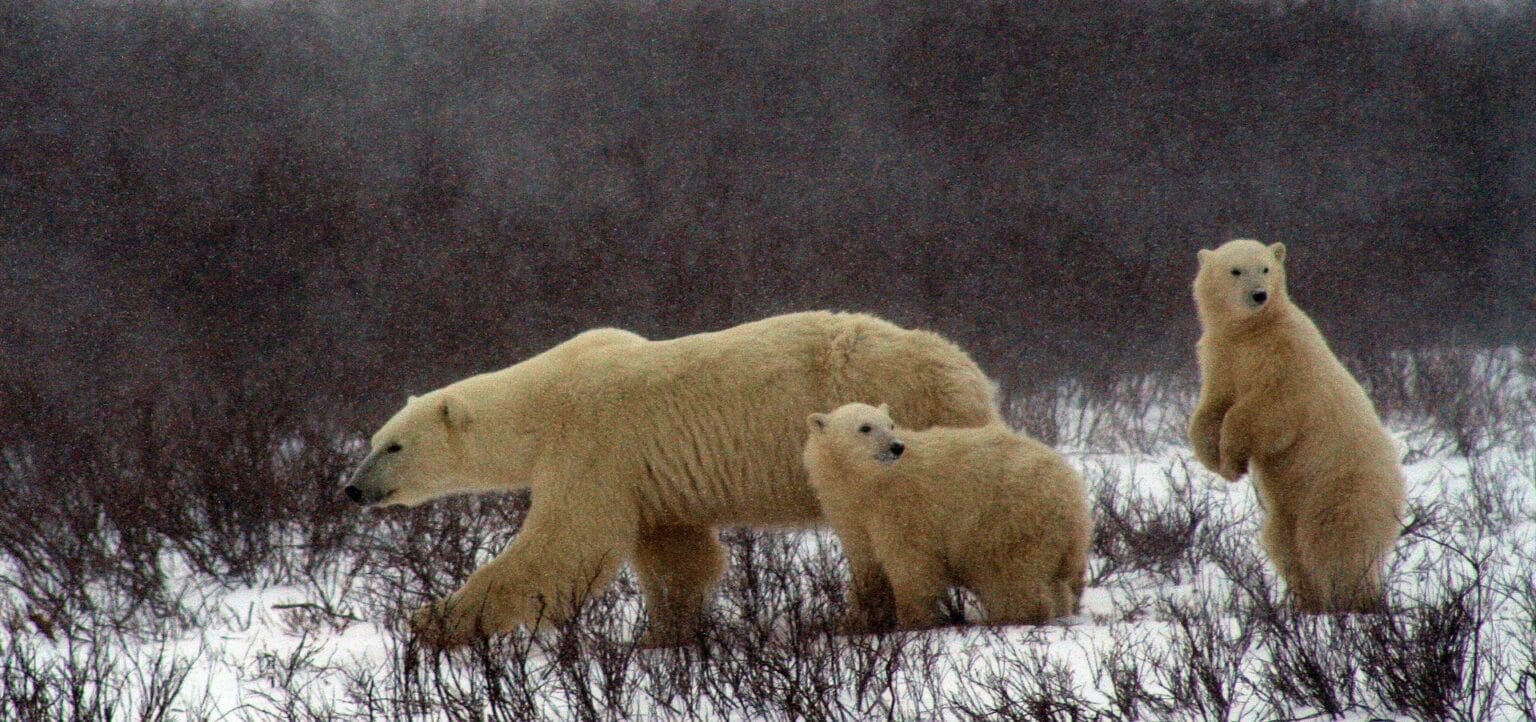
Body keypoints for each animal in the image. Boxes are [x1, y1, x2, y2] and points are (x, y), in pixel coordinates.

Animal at [344, 311, 1000, 647]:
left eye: (393, 444)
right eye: (373, 440)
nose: (352, 488)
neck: (544, 397)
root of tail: (968, 372)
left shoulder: (594, 438)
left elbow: (567, 545)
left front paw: (433, 622)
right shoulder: (648, 472)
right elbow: (675, 554)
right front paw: (664, 633)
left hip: (897, 423)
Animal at [802, 403, 1090, 630]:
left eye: (891, 424)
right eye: (865, 427)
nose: (896, 447)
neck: (869, 483)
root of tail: (1073, 491)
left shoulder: (903, 506)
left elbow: (911, 560)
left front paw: (913, 621)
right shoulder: (852, 513)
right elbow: (866, 562)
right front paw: (858, 620)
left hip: (1009, 516)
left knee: (1007, 572)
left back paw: (1013, 616)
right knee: (1051, 578)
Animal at [1188, 239, 1406, 613]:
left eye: (1265, 268)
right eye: (1235, 270)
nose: (1259, 295)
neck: (1251, 331)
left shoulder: (1286, 358)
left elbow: (1264, 411)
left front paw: (1232, 461)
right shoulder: (1221, 357)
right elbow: (1210, 408)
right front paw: (1214, 461)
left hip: (1341, 485)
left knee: (1334, 540)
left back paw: (1352, 602)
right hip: (1288, 506)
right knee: (1283, 543)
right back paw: (1304, 603)